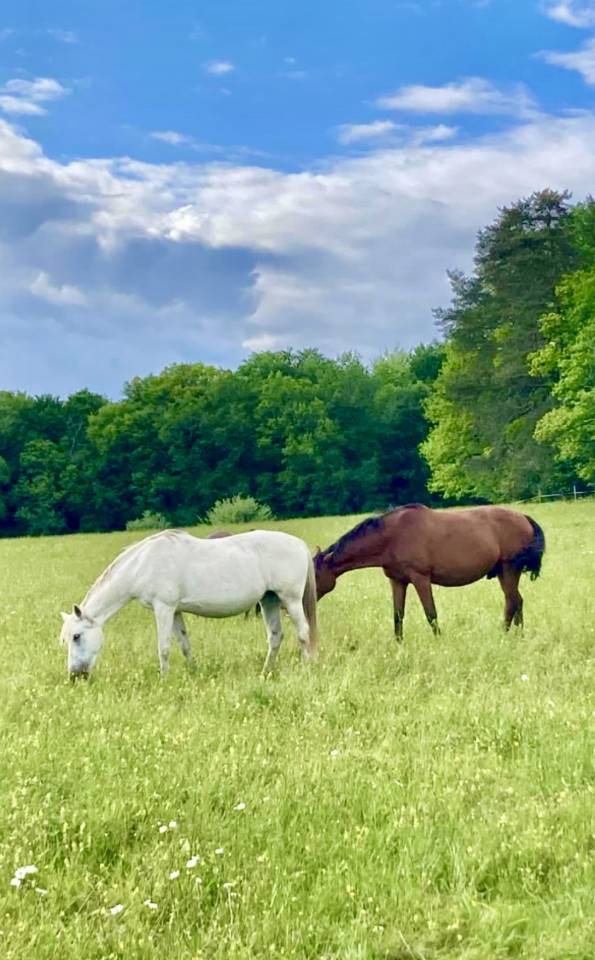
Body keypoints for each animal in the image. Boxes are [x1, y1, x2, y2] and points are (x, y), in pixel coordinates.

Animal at [60, 529, 318, 679]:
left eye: (76, 636)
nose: (74, 676)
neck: (143, 564)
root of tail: (299, 543)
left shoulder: (163, 608)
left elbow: (163, 647)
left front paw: (164, 680)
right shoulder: (175, 611)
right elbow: (184, 644)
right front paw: (193, 672)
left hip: (290, 600)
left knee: (304, 633)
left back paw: (307, 668)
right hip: (269, 600)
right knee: (275, 637)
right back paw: (266, 672)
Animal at [314, 504, 545, 639]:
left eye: (314, 575)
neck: (392, 536)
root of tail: (523, 517)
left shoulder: (420, 579)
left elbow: (431, 614)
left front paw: (438, 641)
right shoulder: (397, 581)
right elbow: (398, 615)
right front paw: (398, 645)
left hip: (509, 569)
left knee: (512, 602)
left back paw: (504, 636)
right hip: (504, 573)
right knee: (517, 601)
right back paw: (518, 636)